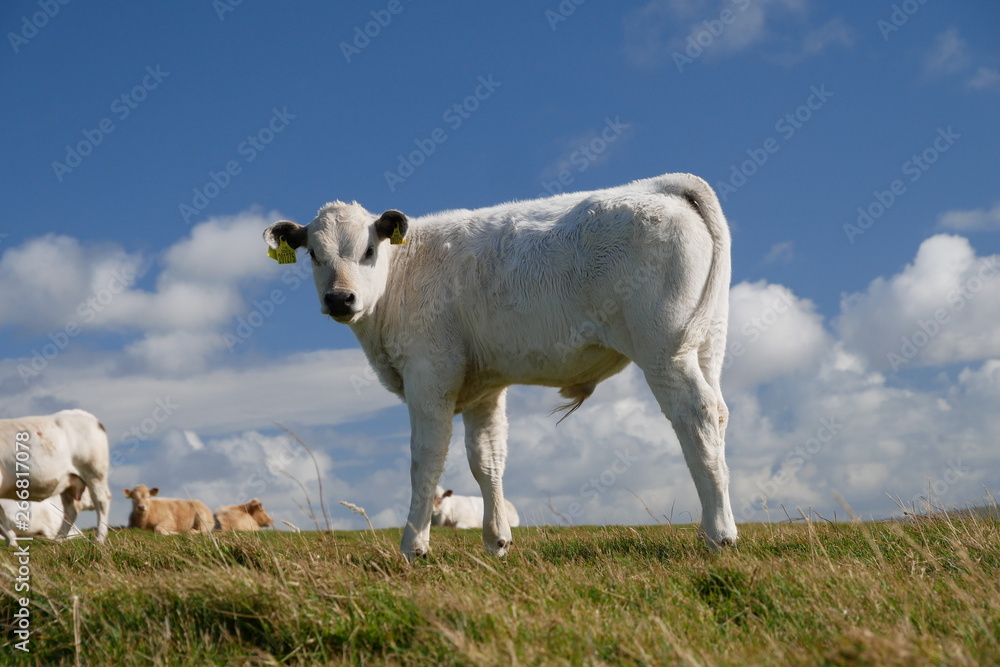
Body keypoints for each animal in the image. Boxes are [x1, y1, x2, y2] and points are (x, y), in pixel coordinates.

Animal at [0, 409, 112, 546]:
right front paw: (11, 542)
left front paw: (11, 542)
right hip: (70, 481)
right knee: (71, 510)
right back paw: (59, 540)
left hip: (94, 472)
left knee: (101, 502)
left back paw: (99, 539)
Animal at [263, 173, 737, 559]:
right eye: (313, 255)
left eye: (367, 250)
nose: (339, 298)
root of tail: (660, 186)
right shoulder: (484, 387)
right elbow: (486, 459)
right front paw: (497, 541)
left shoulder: (428, 374)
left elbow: (426, 459)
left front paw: (413, 544)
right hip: (707, 343)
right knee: (717, 413)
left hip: (664, 346)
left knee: (695, 415)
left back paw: (718, 534)